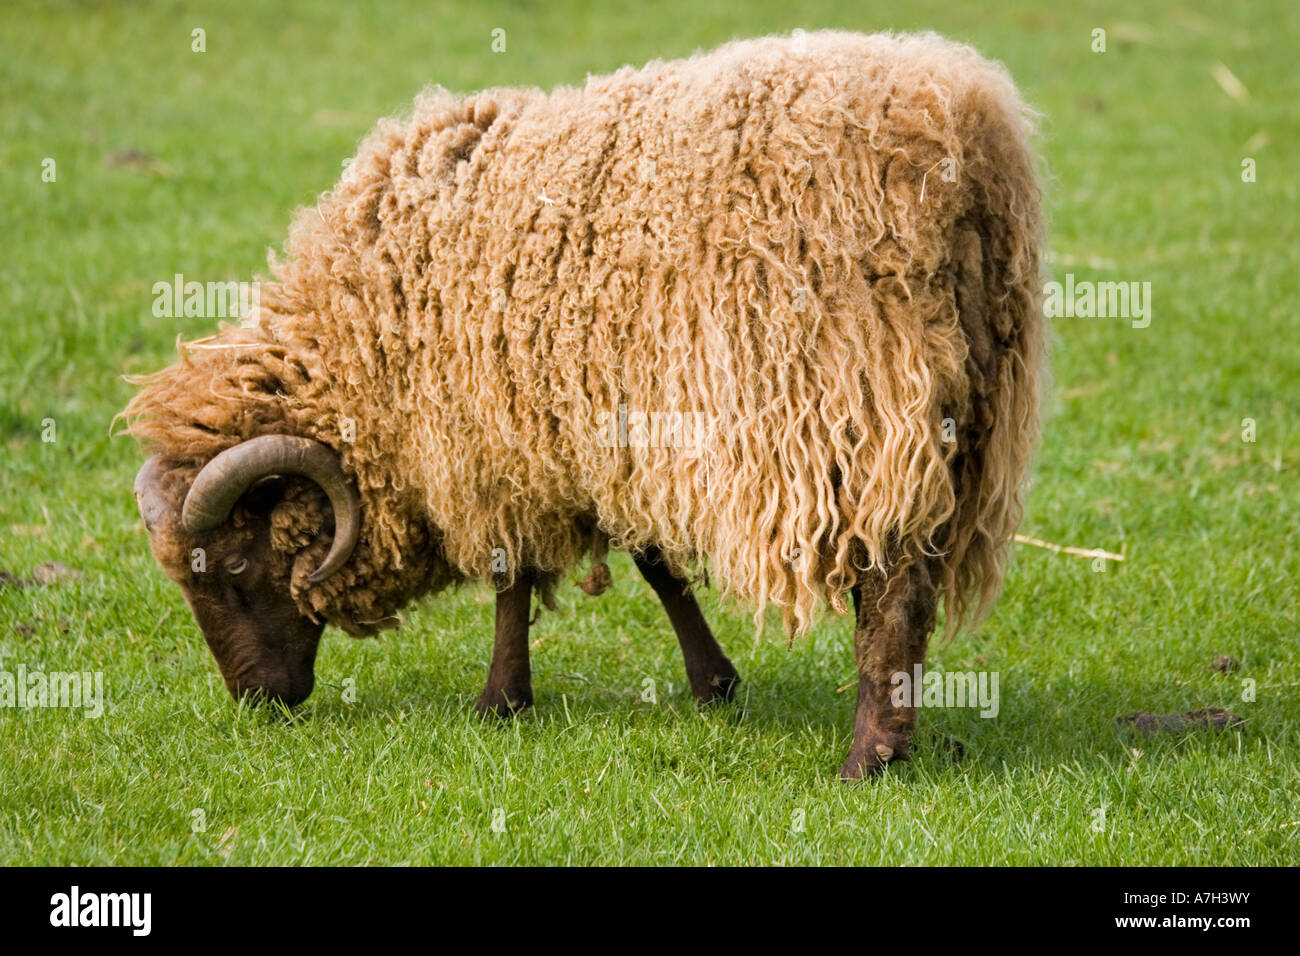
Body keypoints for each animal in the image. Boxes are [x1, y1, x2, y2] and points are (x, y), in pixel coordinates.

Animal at [124, 29, 1045, 779]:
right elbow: (654, 560)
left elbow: (513, 573)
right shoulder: (600, 431)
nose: (257, 700)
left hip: (857, 405)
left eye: (234, 567)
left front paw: (500, 700)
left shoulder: (500, 439)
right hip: (964, 415)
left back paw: (868, 758)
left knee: (891, 589)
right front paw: (713, 682)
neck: (371, 326)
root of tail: (959, 140)